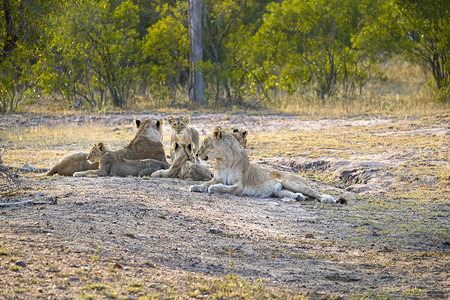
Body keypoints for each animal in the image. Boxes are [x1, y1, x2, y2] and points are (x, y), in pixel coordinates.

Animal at [188, 126, 340, 204]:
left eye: (204, 143)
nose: (196, 154)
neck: (224, 160)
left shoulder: (239, 186)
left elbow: (224, 188)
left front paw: (214, 188)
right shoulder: (216, 178)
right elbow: (205, 183)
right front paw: (195, 187)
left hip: (292, 182)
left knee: (314, 192)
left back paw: (327, 198)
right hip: (280, 191)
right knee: (297, 194)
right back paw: (298, 197)